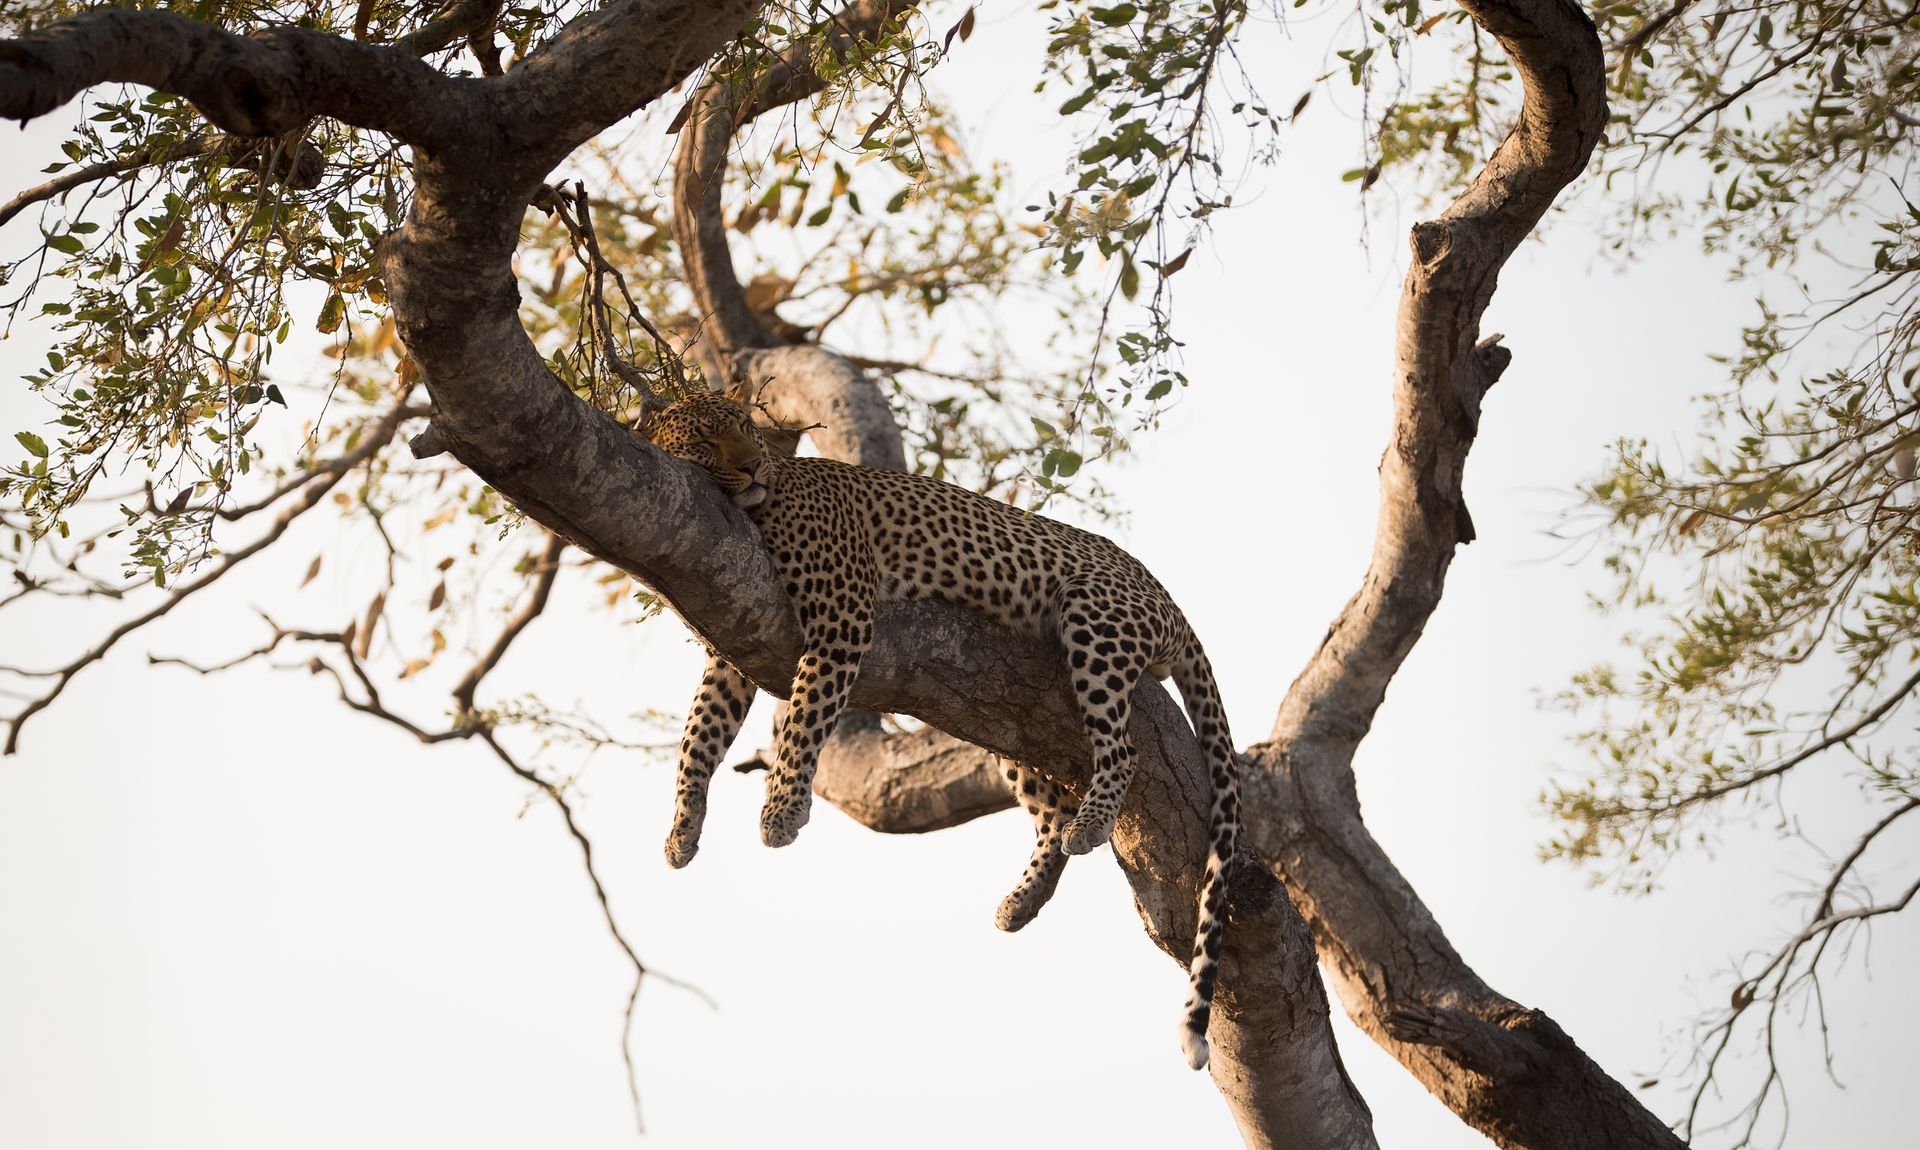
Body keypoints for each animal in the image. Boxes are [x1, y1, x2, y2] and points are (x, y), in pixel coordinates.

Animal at [646, 390, 1240, 1071]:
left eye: (747, 429)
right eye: (704, 439)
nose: (750, 467)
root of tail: (1168, 597)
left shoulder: (842, 619)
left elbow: (802, 720)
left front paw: (781, 812)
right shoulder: (732, 645)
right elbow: (698, 734)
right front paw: (682, 830)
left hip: (1095, 617)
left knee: (1124, 747)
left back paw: (1092, 824)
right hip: (1003, 723)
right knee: (1050, 811)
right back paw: (1022, 900)